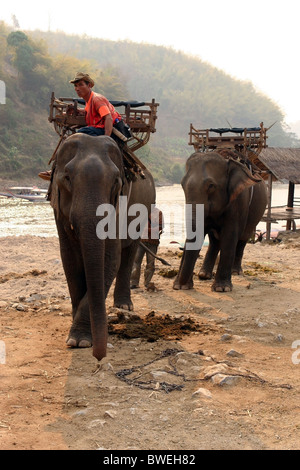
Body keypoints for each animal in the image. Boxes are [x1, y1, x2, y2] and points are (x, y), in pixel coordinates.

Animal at [49, 132, 156, 360]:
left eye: (116, 182)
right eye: (67, 178)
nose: (99, 356)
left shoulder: (120, 206)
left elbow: (110, 259)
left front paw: (80, 339)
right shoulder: (57, 210)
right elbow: (69, 260)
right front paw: (78, 337)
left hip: (144, 210)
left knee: (129, 252)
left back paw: (124, 305)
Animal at [172, 152, 268, 292]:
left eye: (211, 186)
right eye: (182, 185)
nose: (180, 285)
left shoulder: (238, 202)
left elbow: (230, 235)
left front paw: (222, 289)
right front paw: (180, 286)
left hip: (255, 215)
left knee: (243, 239)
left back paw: (235, 272)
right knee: (214, 240)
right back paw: (204, 275)